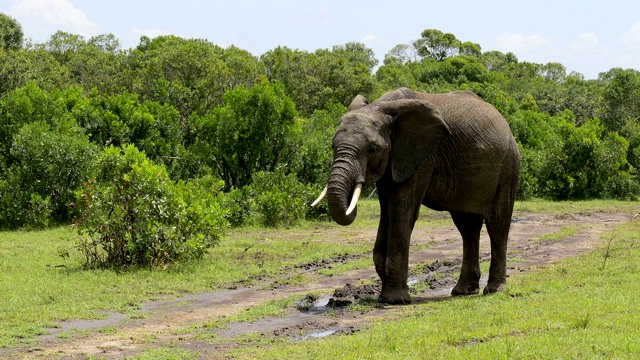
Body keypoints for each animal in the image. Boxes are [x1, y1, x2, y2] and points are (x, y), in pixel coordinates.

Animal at [314, 87, 520, 304]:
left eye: (372, 149)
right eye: (332, 146)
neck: (383, 108)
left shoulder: (423, 157)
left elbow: (400, 209)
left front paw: (395, 300)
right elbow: (386, 211)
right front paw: (384, 296)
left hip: (508, 166)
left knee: (497, 224)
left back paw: (494, 289)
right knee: (467, 227)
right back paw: (463, 291)